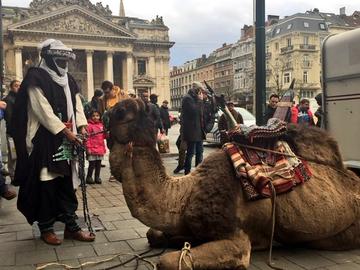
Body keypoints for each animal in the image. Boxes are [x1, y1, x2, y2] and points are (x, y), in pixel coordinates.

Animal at [107, 98, 360, 268]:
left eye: (121, 111)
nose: (109, 110)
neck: (184, 195)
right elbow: (153, 234)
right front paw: (177, 238)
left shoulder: (235, 239)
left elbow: (166, 261)